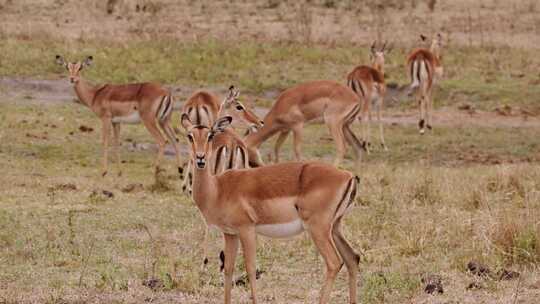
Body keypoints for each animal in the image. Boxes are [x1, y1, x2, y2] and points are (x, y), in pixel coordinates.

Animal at [180, 114, 358, 304]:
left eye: (210, 135)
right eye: (189, 136)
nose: (200, 158)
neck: (218, 189)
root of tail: (347, 175)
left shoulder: (247, 229)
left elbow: (250, 269)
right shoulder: (230, 233)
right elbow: (228, 268)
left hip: (318, 229)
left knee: (334, 262)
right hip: (335, 227)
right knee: (352, 258)